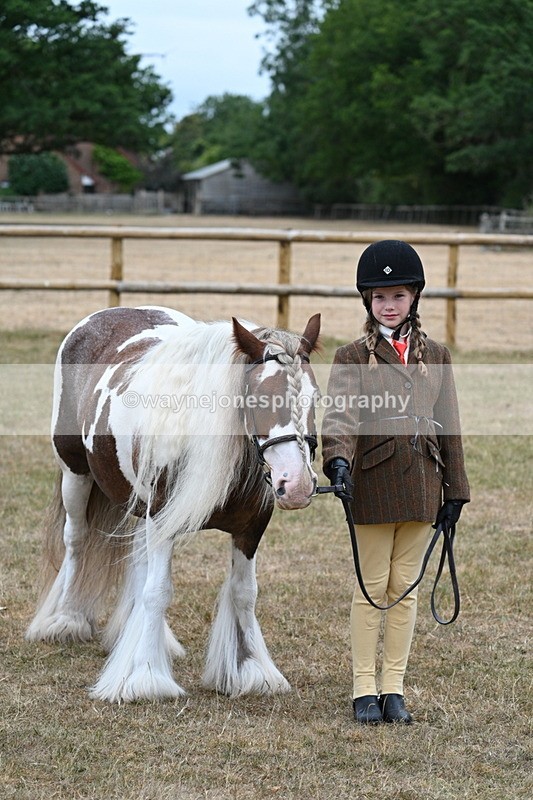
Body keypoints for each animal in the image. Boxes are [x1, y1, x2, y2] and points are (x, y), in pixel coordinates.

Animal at [26, 306, 321, 703]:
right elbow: (158, 591)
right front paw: (146, 676)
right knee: (76, 540)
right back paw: (68, 619)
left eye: (315, 398)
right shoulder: (162, 521)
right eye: (261, 398)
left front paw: (250, 670)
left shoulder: (251, 528)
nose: (298, 485)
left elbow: (244, 593)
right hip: (75, 474)